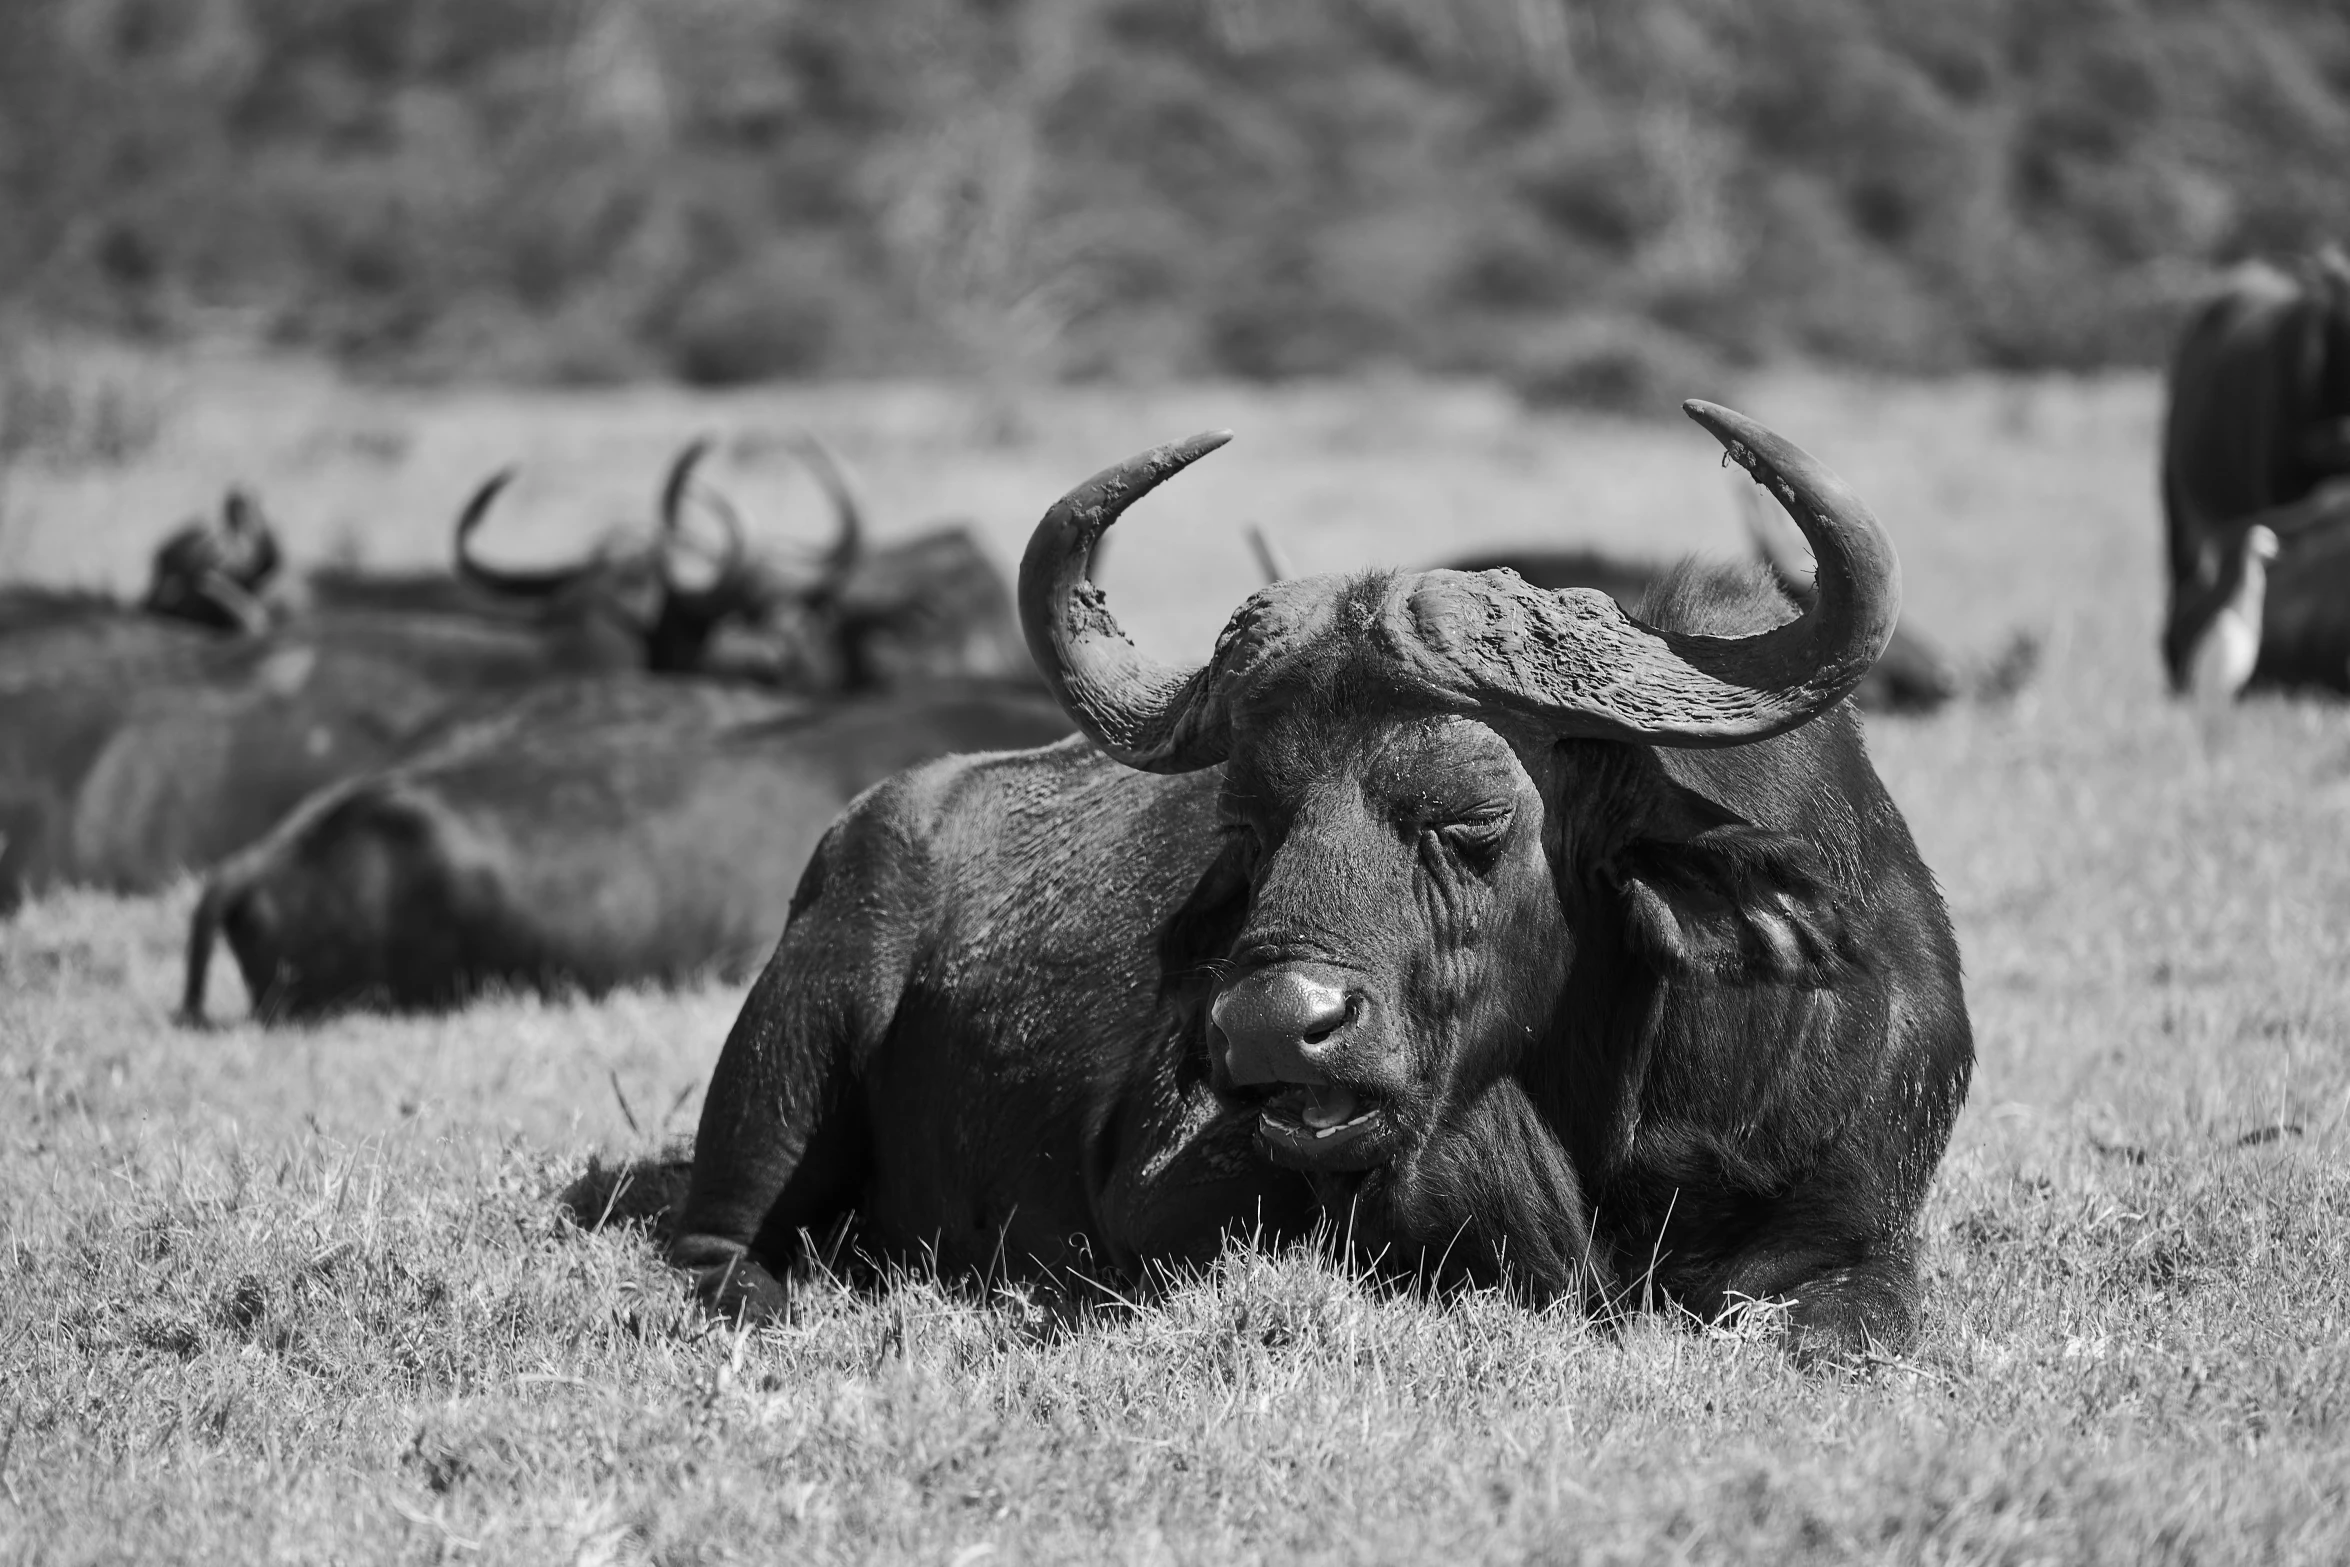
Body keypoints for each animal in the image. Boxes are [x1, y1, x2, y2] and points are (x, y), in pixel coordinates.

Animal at [672, 401, 1973, 1362]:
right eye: (1248, 825)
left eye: (1471, 817)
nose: (1265, 1028)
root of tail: (873, 820)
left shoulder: (1861, 1232)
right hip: (780, 1081)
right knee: (714, 1249)